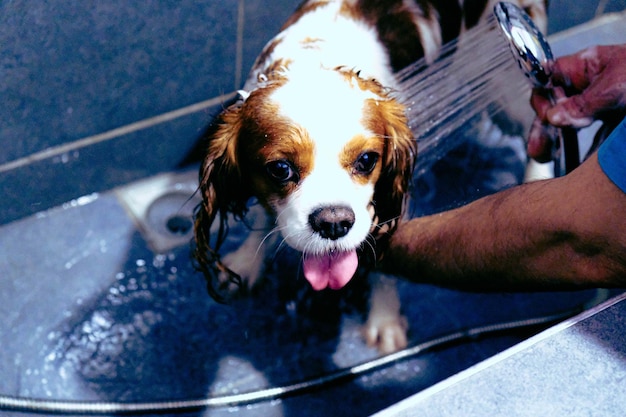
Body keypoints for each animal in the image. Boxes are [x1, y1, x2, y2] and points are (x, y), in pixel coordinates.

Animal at [193, 0, 544, 352]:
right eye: (280, 169)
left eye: (366, 160)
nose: (334, 223)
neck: (318, 58)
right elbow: (263, 215)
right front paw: (247, 260)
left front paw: (384, 318)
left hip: (504, 82)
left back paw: (537, 179)